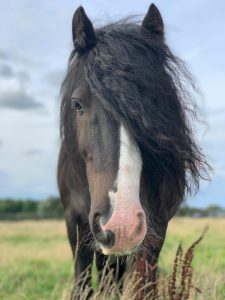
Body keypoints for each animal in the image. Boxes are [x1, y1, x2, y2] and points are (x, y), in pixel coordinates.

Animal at [57, 2, 208, 296]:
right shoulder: (75, 224)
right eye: (77, 104)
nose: (122, 224)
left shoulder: (155, 233)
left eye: (155, 106)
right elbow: (82, 287)